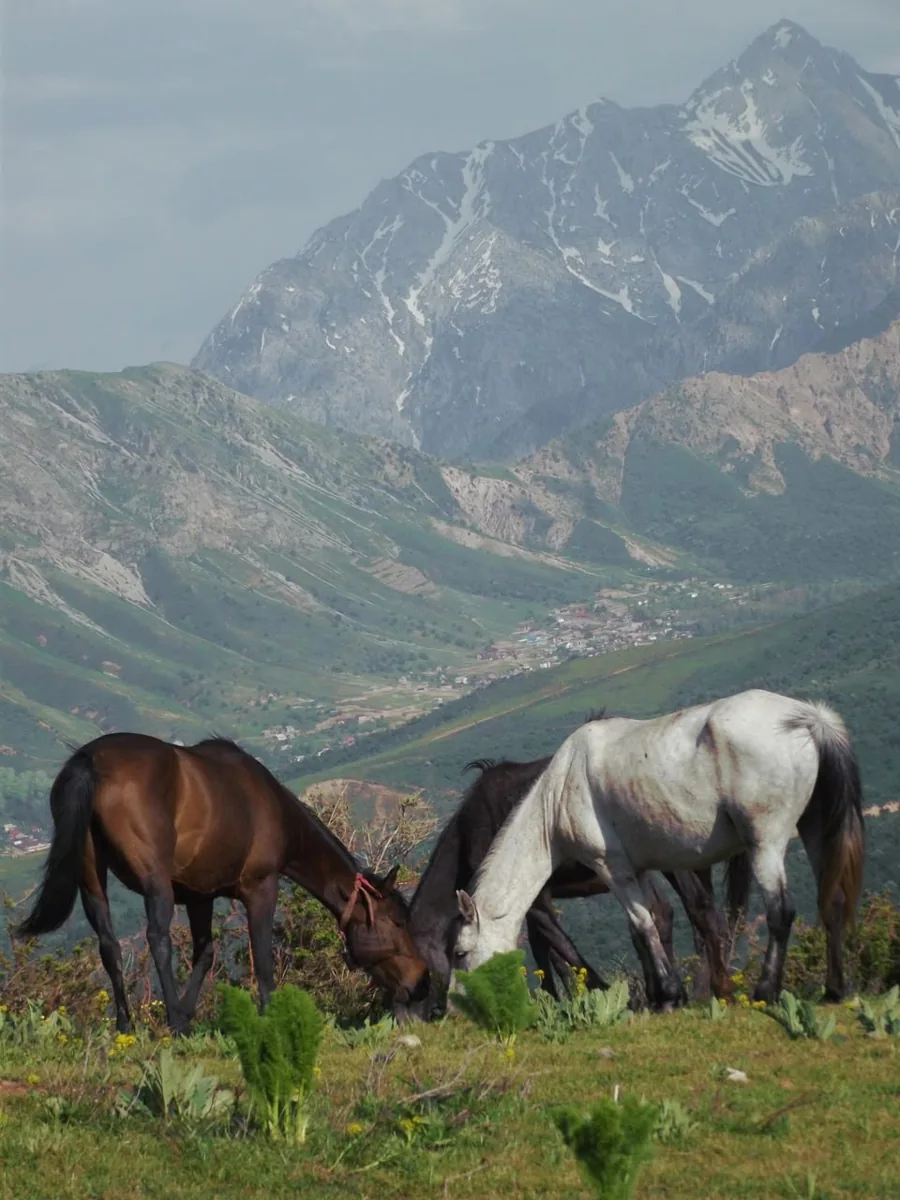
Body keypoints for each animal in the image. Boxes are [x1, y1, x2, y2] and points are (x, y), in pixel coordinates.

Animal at [14, 733, 430, 1032]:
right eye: (397, 922)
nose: (421, 982)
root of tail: (91, 761)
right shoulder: (260, 889)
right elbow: (262, 959)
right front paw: (264, 1016)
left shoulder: (200, 895)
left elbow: (206, 953)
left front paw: (188, 1009)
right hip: (155, 882)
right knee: (157, 940)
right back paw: (174, 1025)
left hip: (91, 878)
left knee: (109, 946)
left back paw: (126, 1025)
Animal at [396, 741, 735, 1022]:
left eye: (456, 955)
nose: (404, 1021)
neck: (470, 835)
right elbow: (545, 952)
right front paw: (560, 999)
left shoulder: (533, 898)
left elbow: (562, 947)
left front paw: (598, 994)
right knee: (695, 916)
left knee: (683, 914)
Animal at [452, 690, 865, 1009]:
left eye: (460, 953)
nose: (462, 1003)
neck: (560, 788)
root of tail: (808, 719)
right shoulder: (639, 870)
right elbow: (649, 925)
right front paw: (668, 994)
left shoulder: (612, 868)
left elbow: (644, 925)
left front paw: (667, 995)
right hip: (816, 831)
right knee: (832, 901)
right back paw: (834, 989)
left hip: (766, 843)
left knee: (781, 911)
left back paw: (765, 992)